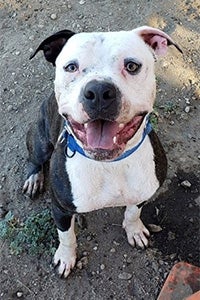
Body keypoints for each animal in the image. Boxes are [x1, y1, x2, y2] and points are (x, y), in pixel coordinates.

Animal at [22, 27, 182, 278]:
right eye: (71, 67)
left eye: (132, 66)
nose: (98, 91)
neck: (110, 164)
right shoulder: (59, 209)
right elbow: (66, 236)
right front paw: (66, 257)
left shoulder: (143, 192)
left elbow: (133, 212)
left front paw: (134, 230)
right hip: (40, 139)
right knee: (34, 158)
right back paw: (34, 178)